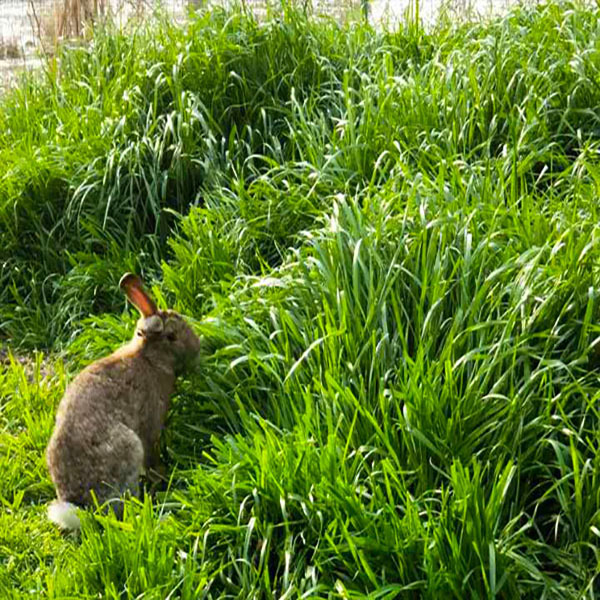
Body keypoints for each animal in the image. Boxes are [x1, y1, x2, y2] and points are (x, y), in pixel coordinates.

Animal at [47, 274, 202, 528]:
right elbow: (152, 455)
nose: (197, 348)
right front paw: (162, 473)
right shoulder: (150, 430)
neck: (150, 359)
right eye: (172, 336)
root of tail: (81, 506)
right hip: (129, 448)